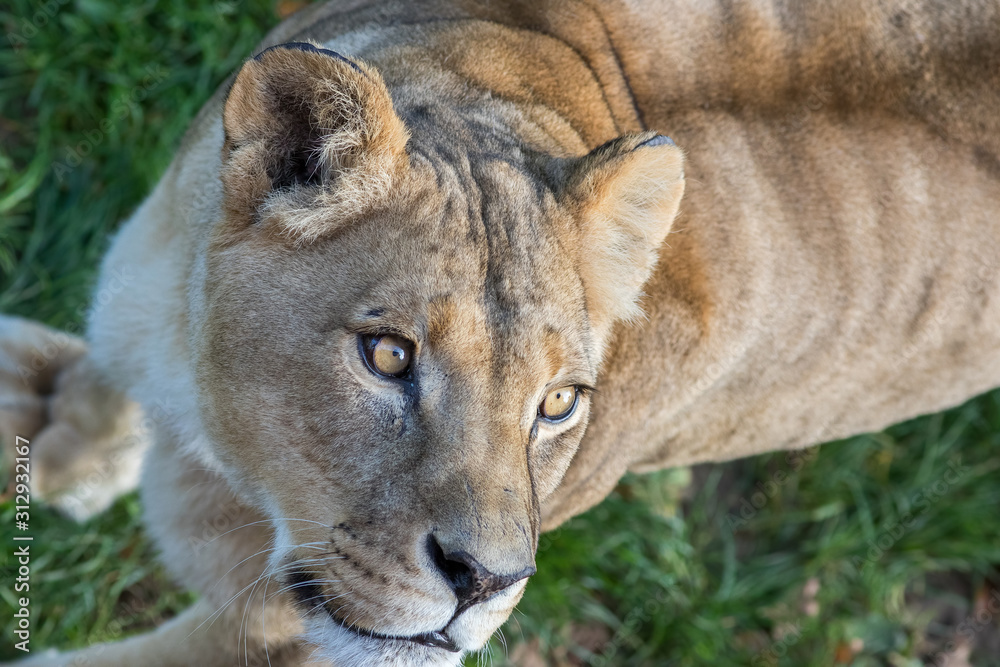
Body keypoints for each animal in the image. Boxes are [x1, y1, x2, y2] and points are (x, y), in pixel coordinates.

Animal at [2, 0, 999, 665]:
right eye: (389, 355)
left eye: (557, 403)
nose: (486, 582)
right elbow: (106, 371)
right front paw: (61, 444)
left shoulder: (278, 622)